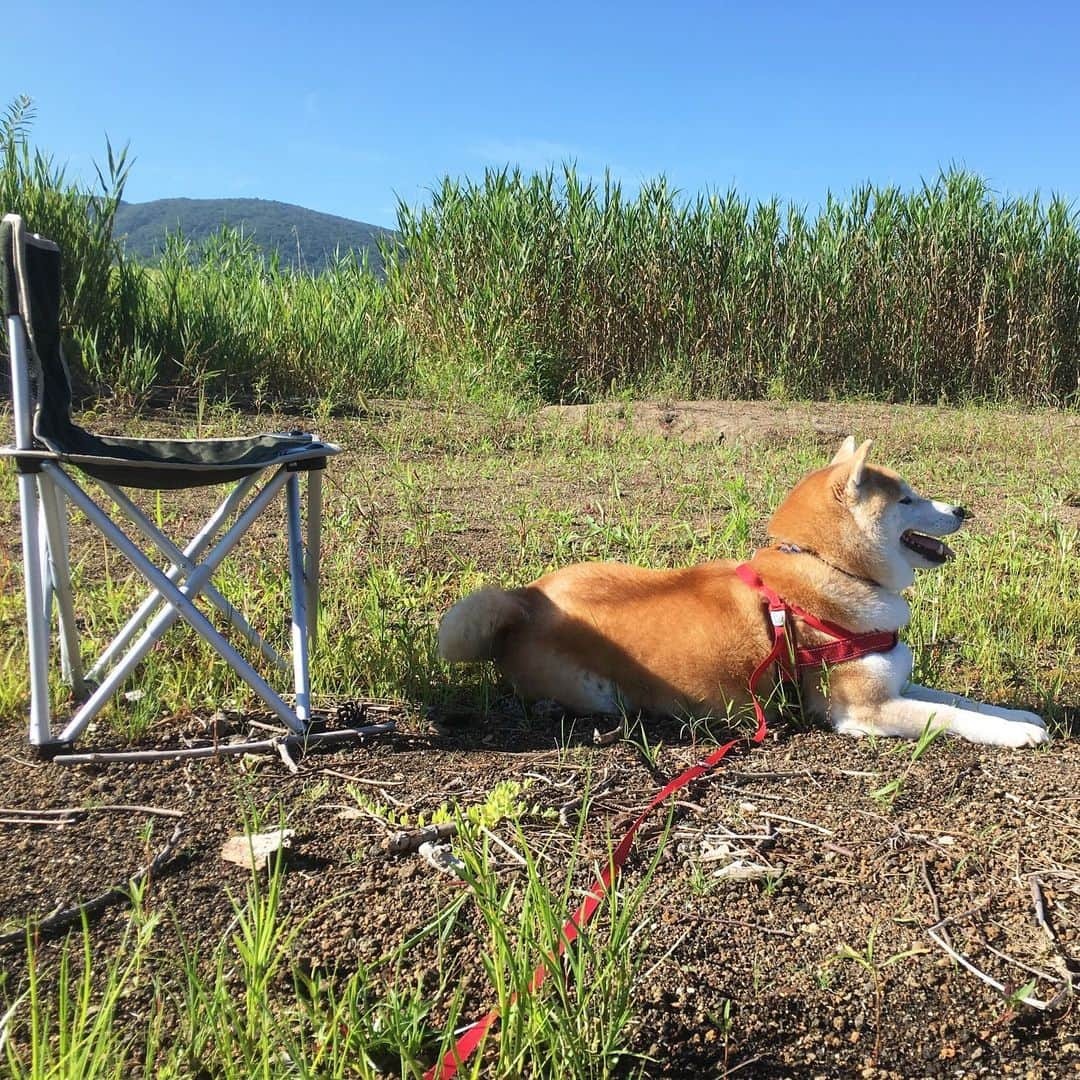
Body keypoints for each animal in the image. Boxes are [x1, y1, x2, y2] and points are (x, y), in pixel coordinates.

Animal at [438, 438, 1045, 751]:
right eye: (909, 499)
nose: (963, 509)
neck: (829, 570)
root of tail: (525, 602)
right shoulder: (863, 709)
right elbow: (947, 716)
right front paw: (1012, 733)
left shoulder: (894, 679)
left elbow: (961, 700)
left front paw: (1021, 715)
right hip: (599, 694)